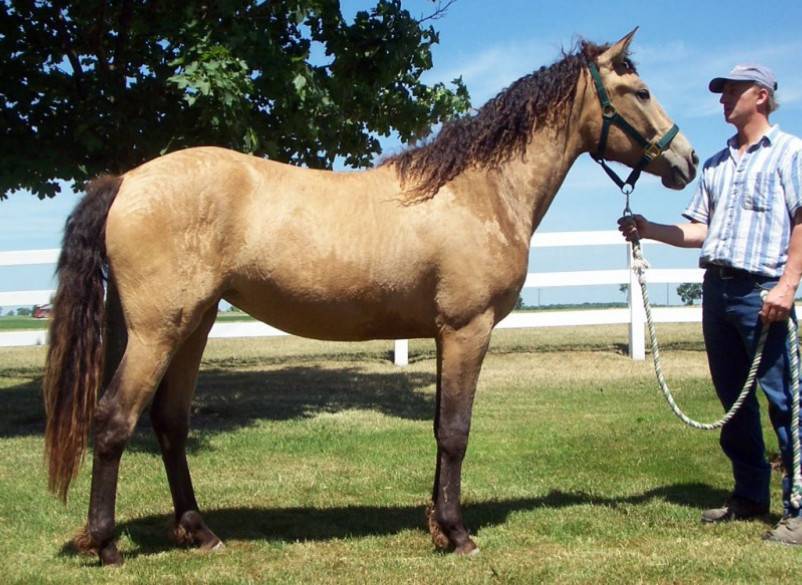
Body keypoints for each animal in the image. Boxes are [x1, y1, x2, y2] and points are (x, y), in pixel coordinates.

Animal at [43, 29, 697, 565]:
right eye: (638, 90)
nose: (686, 160)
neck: (478, 190)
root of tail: (126, 180)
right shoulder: (468, 329)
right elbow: (455, 431)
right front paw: (458, 534)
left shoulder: (444, 334)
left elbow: (439, 428)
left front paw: (437, 524)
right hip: (156, 331)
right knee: (113, 420)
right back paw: (104, 544)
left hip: (194, 325)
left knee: (170, 424)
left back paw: (200, 533)